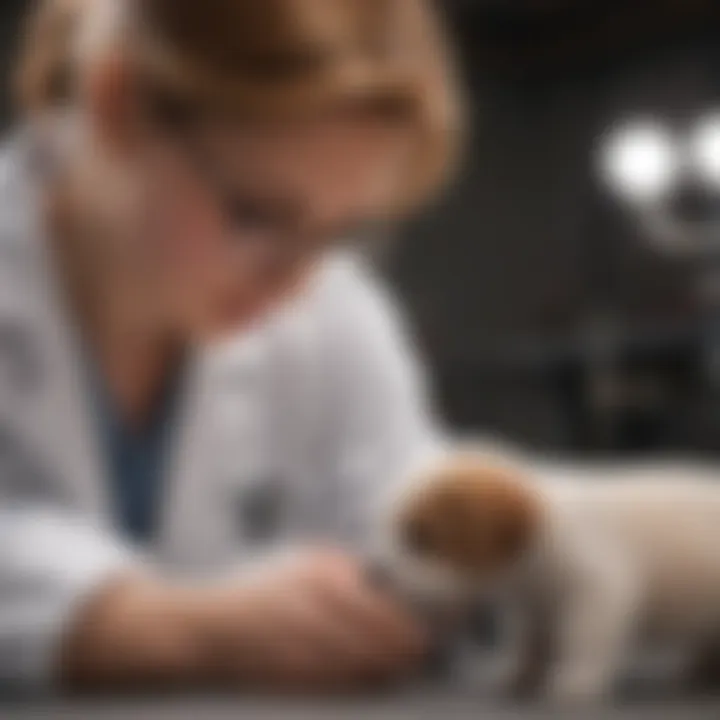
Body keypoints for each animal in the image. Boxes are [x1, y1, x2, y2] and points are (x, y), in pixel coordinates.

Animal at [382, 456, 720, 704]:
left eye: (421, 539)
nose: (380, 574)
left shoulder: (598, 591)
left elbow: (583, 637)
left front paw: (577, 678)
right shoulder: (531, 605)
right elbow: (527, 639)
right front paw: (518, 671)